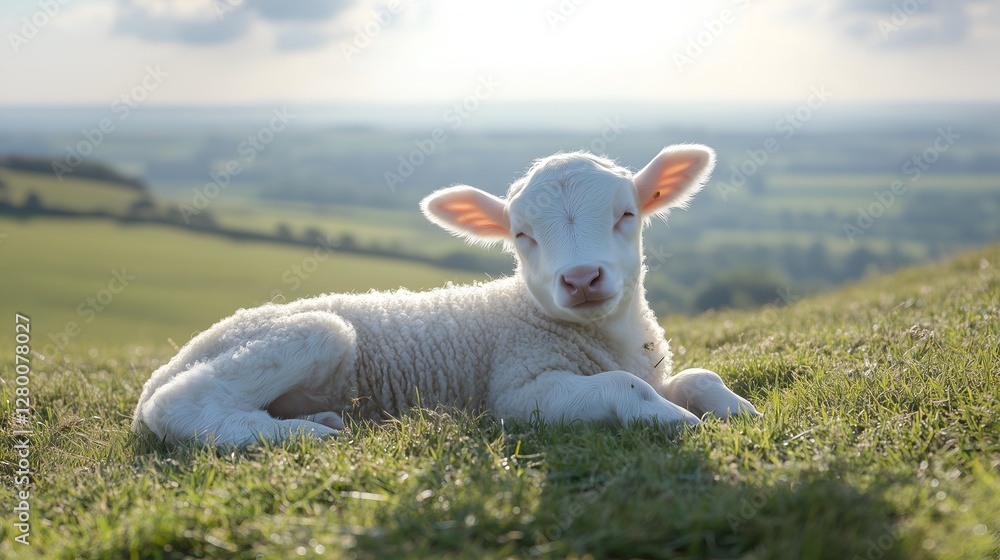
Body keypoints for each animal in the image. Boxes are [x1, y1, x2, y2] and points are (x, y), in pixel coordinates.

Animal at [132, 144, 761, 445]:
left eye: (627, 215)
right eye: (521, 235)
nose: (582, 279)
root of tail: (165, 366)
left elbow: (698, 377)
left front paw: (740, 410)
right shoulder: (516, 390)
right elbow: (626, 389)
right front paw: (681, 422)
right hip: (306, 334)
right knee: (184, 405)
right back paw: (304, 434)